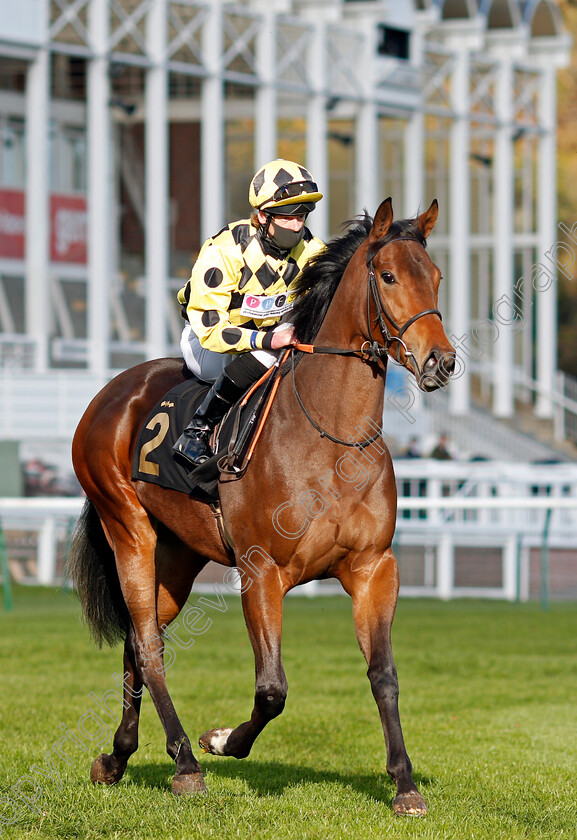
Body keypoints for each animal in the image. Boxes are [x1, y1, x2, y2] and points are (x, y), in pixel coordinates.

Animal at [67, 197, 454, 812]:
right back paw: (185, 763)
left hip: (178, 555)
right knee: (148, 646)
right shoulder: (260, 571)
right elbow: (272, 689)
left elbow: (384, 675)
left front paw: (405, 784)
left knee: (136, 641)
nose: (442, 360)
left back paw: (117, 756)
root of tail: (113, 392)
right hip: (128, 528)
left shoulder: (374, 568)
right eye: (389, 276)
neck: (331, 438)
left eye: (436, 277)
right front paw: (222, 740)